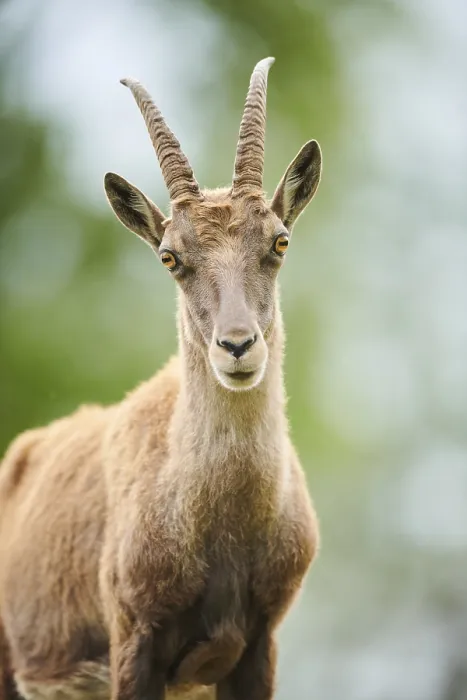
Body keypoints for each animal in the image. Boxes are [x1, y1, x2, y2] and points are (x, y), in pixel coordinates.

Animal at [0, 57, 322, 700]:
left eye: (279, 241)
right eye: (171, 257)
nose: (237, 346)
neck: (223, 525)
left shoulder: (257, 646)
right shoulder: (133, 639)